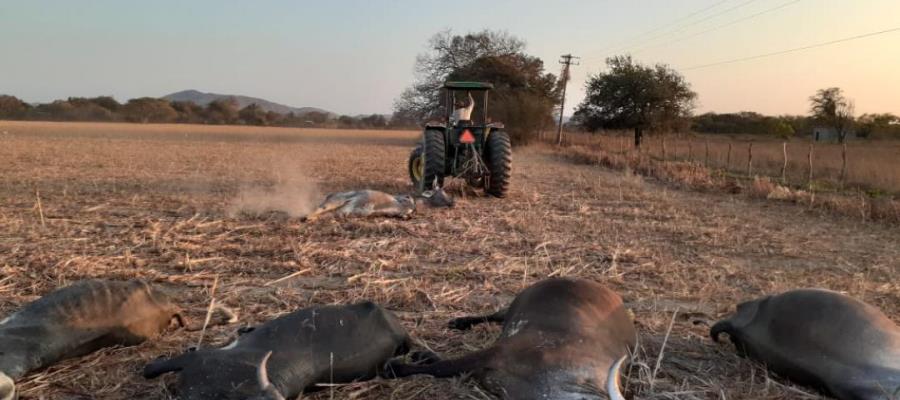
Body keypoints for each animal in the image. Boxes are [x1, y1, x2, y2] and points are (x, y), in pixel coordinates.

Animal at [384, 278, 636, 400]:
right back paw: (460, 322)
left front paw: (423, 356)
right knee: (493, 316)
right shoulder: (500, 351)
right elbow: (444, 366)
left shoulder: (483, 370)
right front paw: (395, 368)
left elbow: (444, 366)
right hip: (513, 305)